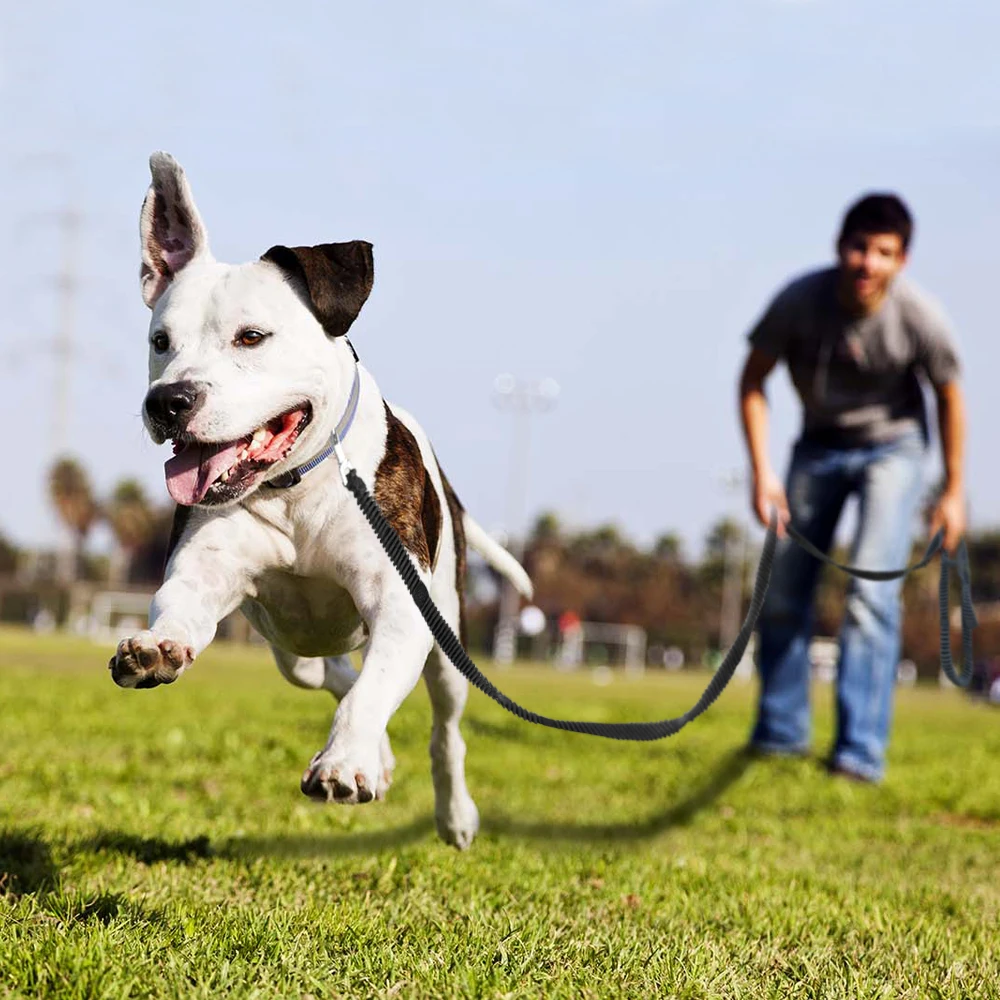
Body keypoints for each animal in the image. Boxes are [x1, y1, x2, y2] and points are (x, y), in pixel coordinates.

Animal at [108, 152, 532, 848]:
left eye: (251, 337)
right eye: (160, 341)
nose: (168, 401)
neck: (295, 489)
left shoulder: (401, 605)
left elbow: (375, 689)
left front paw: (344, 763)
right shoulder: (204, 570)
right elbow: (180, 607)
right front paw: (156, 648)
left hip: (447, 636)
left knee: (443, 728)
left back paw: (452, 812)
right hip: (290, 647)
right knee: (329, 673)